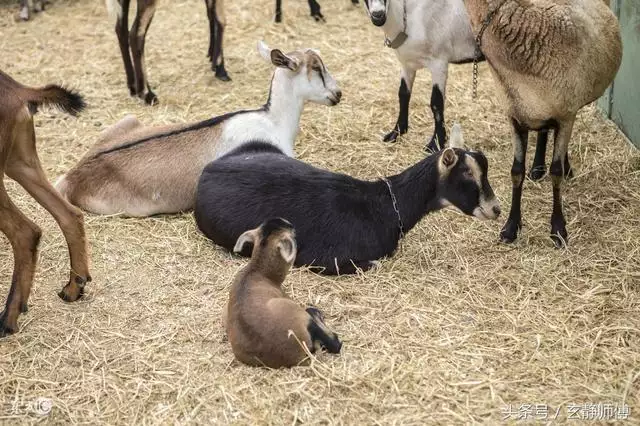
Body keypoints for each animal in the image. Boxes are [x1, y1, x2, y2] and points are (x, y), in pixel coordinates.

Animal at [0, 70, 91, 336]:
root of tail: (18, 91)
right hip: (19, 163)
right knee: (69, 214)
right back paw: (74, 287)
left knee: (25, 232)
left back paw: (8, 319)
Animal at [362, 0, 478, 151]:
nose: (378, 15)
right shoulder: (407, 64)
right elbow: (403, 95)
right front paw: (396, 133)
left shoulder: (439, 62)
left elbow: (436, 102)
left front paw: (435, 143)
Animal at [464, 0, 620, 248]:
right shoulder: (515, 115)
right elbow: (516, 171)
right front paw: (511, 227)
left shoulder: (566, 114)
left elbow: (556, 172)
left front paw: (558, 230)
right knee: (544, 131)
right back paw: (538, 168)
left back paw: (564, 166)